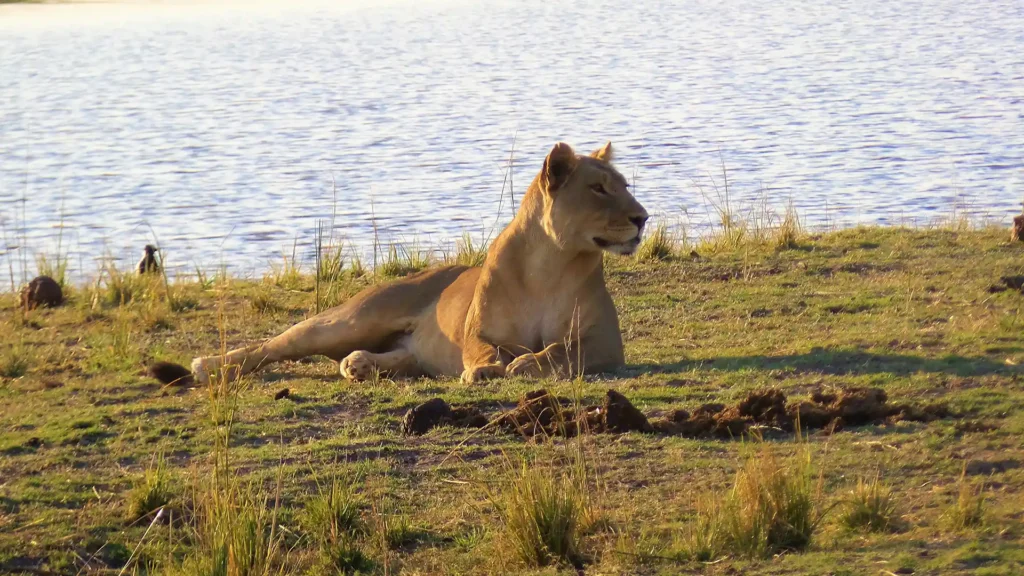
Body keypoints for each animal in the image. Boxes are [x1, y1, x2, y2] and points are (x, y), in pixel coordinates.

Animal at [192, 139, 647, 383]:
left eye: (624, 185)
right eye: (598, 188)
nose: (643, 218)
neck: (550, 265)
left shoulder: (604, 341)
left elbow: (559, 351)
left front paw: (523, 364)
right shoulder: (479, 331)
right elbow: (483, 349)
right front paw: (487, 369)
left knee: (399, 356)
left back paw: (358, 365)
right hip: (351, 319)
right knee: (271, 345)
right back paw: (208, 365)